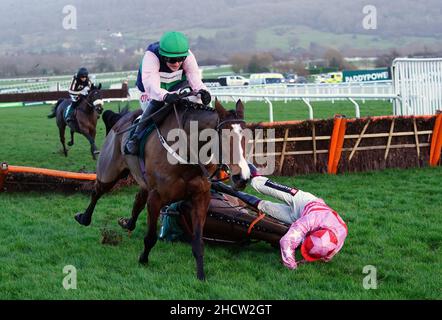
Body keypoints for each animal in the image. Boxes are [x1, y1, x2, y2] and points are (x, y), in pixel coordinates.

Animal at [74, 93, 250, 280]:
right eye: (224, 137)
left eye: (248, 136)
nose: (242, 177)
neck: (186, 153)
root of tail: (121, 119)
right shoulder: (156, 198)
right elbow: (151, 237)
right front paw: (143, 259)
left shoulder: (201, 198)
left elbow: (197, 241)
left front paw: (201, 274)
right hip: (110, 172)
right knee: (97, 192)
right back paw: (84, 218)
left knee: (138, 200)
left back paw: (128, 223)